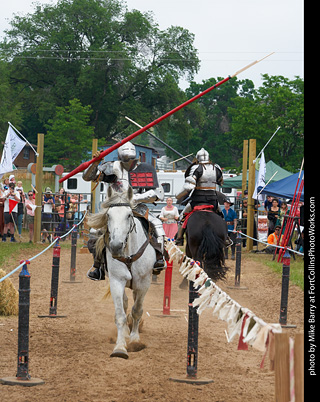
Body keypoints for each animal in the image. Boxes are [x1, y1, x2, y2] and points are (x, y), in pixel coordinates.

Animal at [89, 185, 156, 358]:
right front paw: (120, 347)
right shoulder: (116, 281)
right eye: (108, 215)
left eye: (129, 215)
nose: (116, 246)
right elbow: (120, 314)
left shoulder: (143, 284)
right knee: (125, 304)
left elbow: (137, 310)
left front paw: (135, 339)